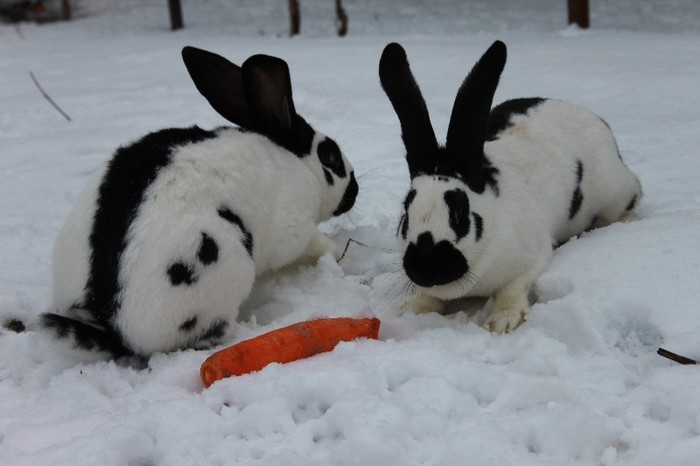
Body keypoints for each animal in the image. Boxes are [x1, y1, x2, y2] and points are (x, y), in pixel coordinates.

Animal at [41, 46, 358, 356]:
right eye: (329, 157)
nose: (354, 191)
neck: (295, 161)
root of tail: (111, 327)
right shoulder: (293, 232)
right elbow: (311, 245)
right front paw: (335, 252)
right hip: (225, 261)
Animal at [380, 40, 644, 332]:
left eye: (460, 214)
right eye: (405, 214)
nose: (426, 267)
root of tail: (595, 118)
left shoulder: (533, 256)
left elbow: (514, 288)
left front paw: (503, 322)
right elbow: (428, 297)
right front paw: (413, 310)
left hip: (614, 191)